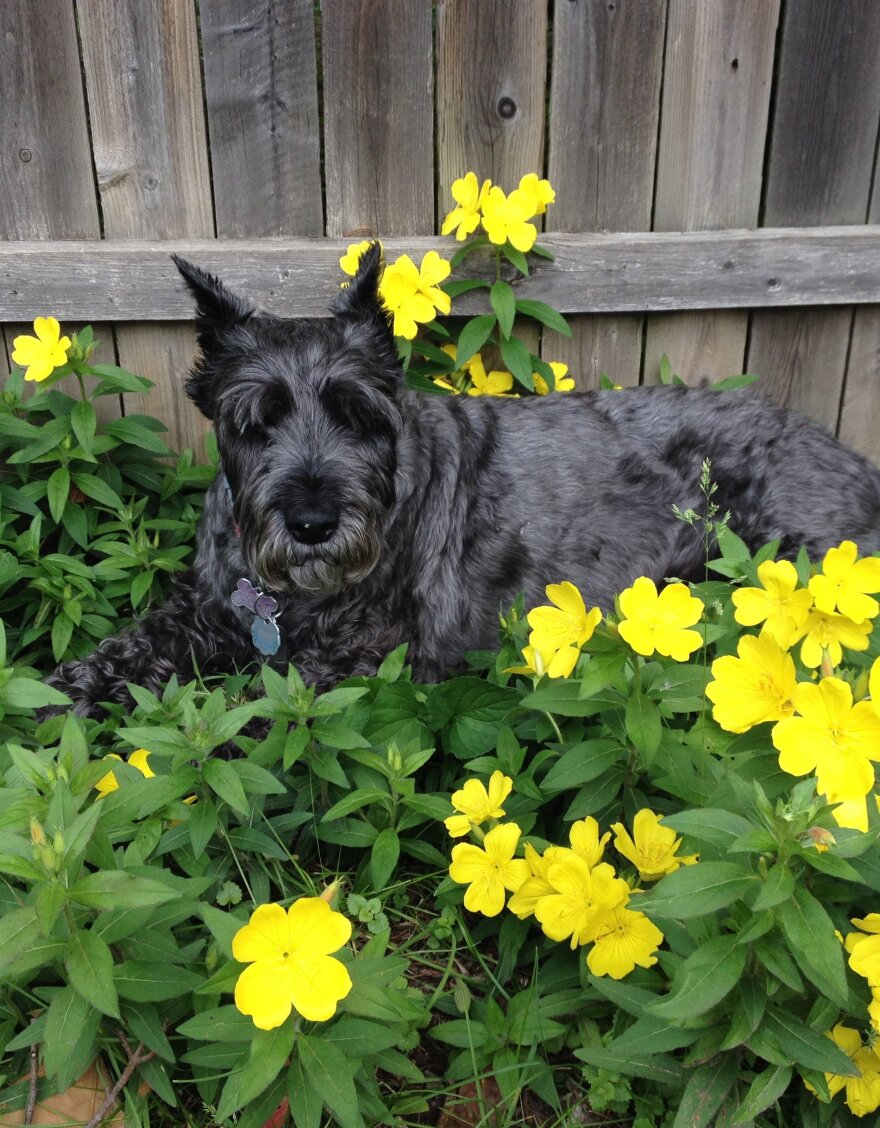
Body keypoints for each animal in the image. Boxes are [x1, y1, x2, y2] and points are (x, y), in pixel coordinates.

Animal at [49, 245, 880, 712]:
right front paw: (64, 695)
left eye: (362, 416)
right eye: (255, 421)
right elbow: (129, 644)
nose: (313, 523)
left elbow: (253, 705)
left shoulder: (359, 659)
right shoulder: (205, 609)